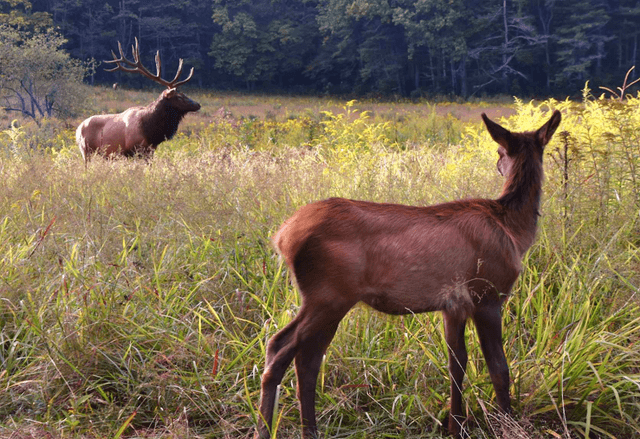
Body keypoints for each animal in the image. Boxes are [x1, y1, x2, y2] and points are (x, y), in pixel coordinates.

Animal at [255, 110, 562, 439]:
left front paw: (455, 426)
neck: (514, 231)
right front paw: (507, 424)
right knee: (282, 349)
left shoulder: (453, 304)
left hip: (324, 299)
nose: (498, 165)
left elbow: (457, 364)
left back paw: (304, 429)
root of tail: (283, 237)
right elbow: (499, 367)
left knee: (302, 357)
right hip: (329, 295)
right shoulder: (486, 293)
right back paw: (267, 429)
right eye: (500, 152)